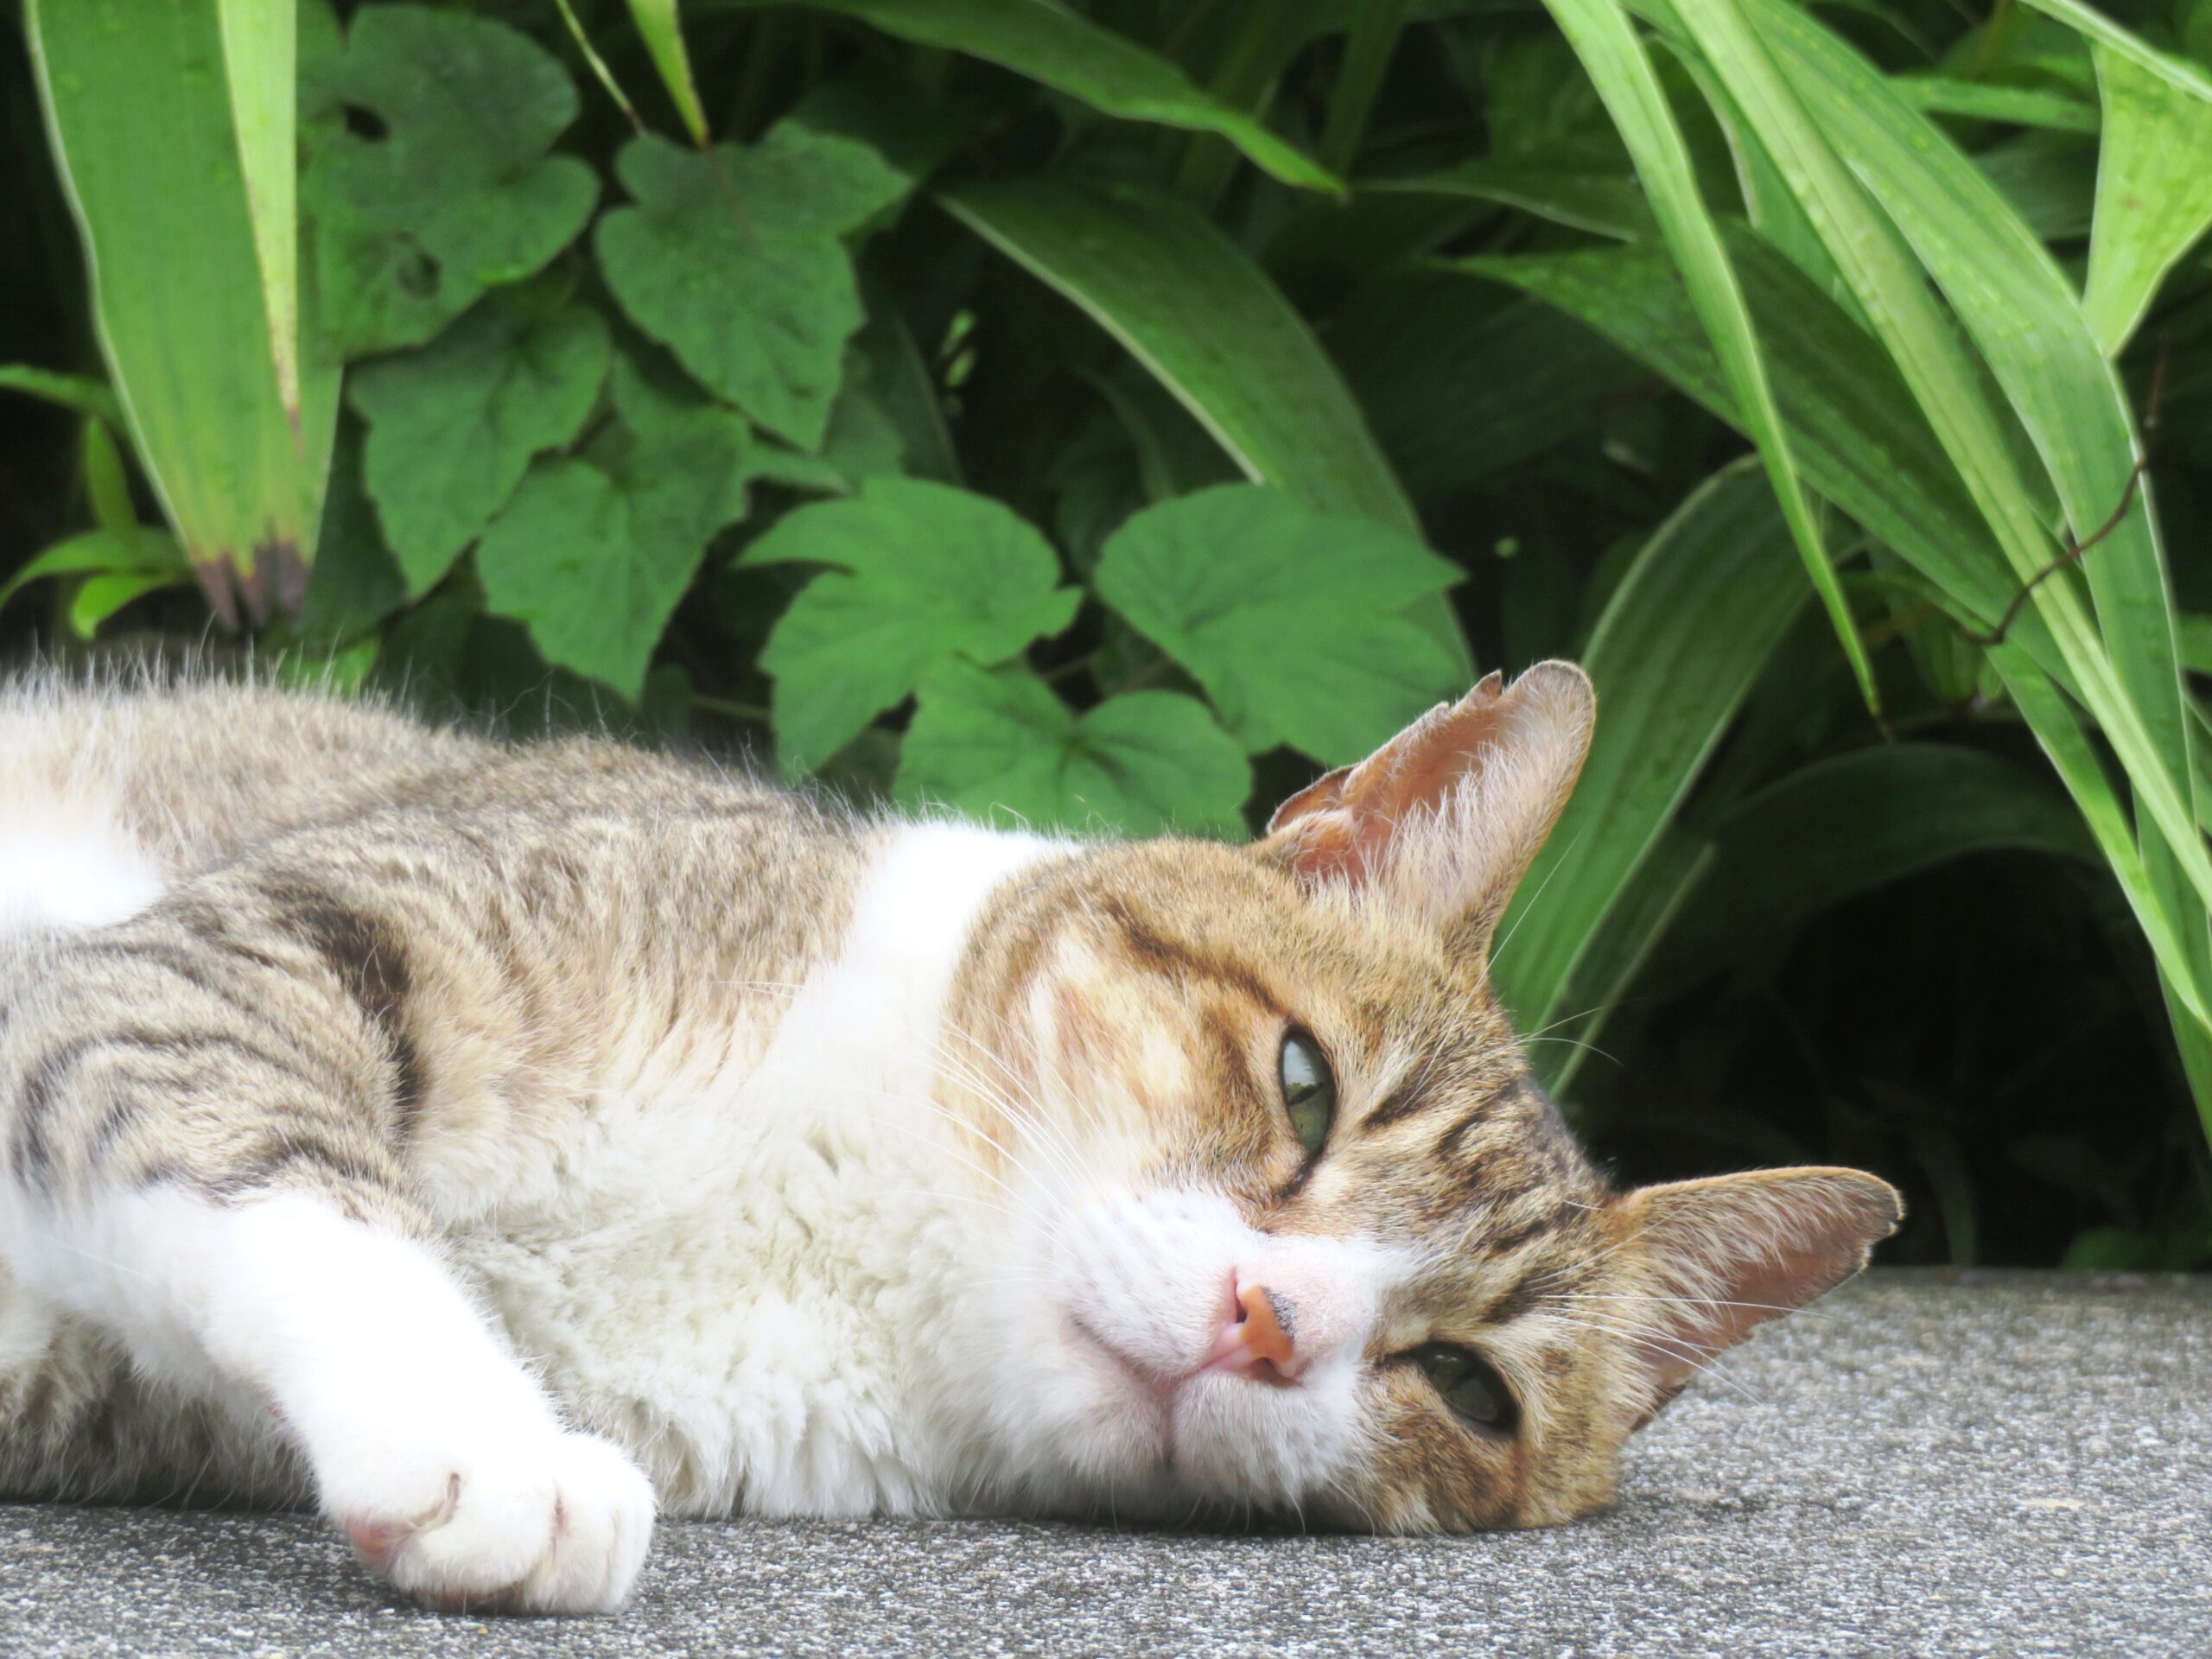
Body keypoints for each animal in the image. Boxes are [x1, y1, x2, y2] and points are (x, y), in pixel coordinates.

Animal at [0, 658, 1902, 1610]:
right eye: (1303, 1084)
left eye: (1468, 1388)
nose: (1267, 1326)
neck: (843, 1224)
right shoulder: (266, 947)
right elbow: (274, 1155)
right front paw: (488, 1443)